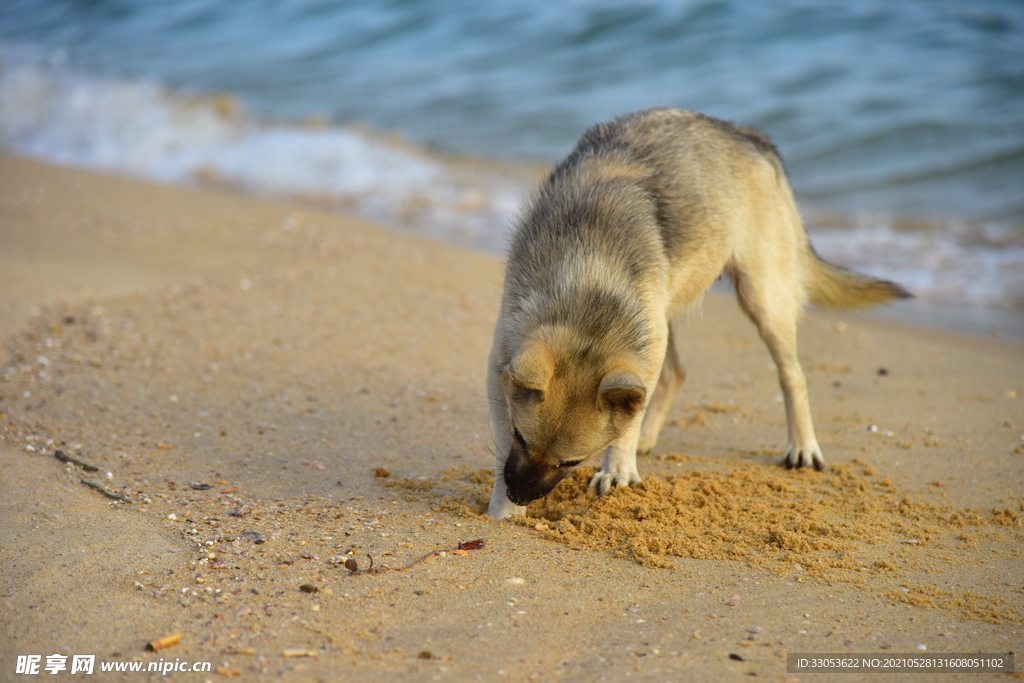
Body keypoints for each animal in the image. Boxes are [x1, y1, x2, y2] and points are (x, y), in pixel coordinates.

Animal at [483, 109, 909, 520]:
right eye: (522, 438)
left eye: (570, 463)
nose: (519, 495)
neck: (588, 278)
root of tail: (748, 135)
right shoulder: (501, 368)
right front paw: (502, 509)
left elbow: (627, 419)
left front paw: (617, 468)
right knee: (675, 374)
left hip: (762, 299)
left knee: (792, 375)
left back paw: (802, 445)